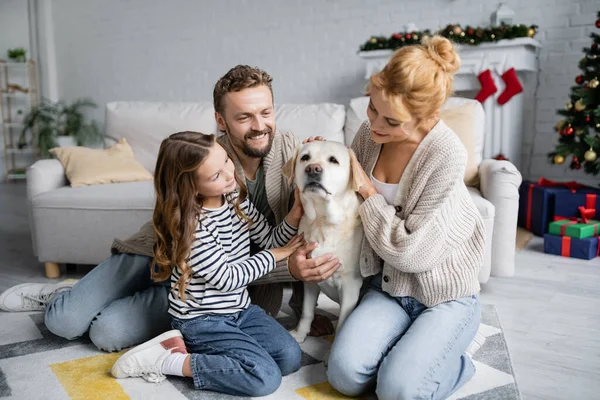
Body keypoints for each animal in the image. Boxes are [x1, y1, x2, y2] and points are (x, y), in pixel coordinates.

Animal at [282, 141, 364, 344]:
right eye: (305, 158)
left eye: (333, 160)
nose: (313, 169)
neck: (322, 220)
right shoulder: (310, 279)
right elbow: (307, 312)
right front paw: (300, 334)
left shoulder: (351, 285)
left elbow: (342, 322)